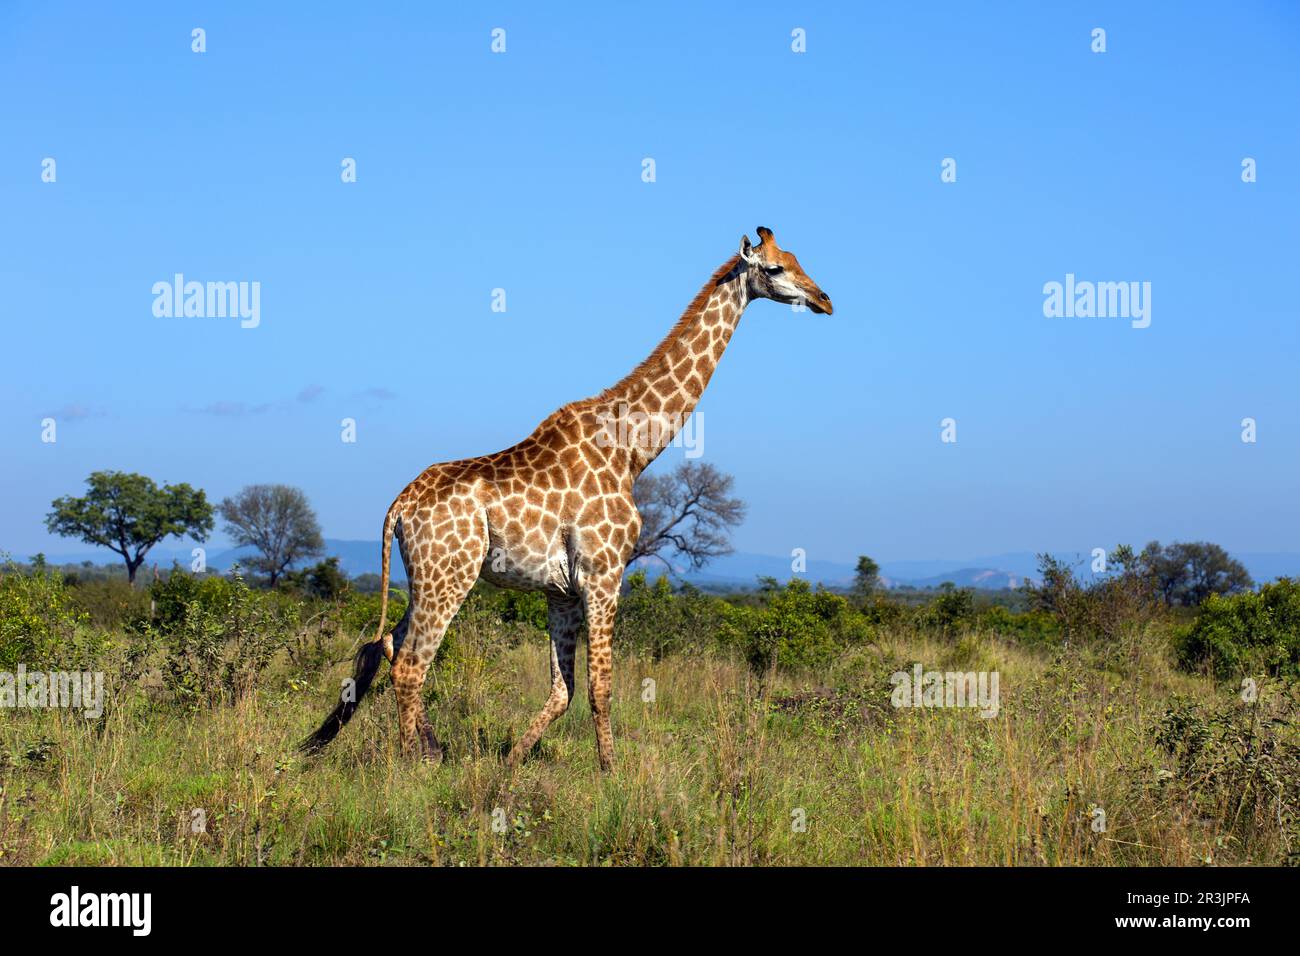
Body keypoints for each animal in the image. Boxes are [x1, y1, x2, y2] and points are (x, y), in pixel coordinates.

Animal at [303, 226, 832, 770]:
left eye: (798, 260)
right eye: (775, 268)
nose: (823, 299)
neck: (632, 448)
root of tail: (399, 507)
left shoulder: (560, 590)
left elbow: (564, 690)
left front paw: (512, 761)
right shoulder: (604, 574)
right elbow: (601, 687)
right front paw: (611, 772)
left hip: (423, 576)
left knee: (388, 646)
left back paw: (429, 749)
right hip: (449, 574)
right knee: (410, 663)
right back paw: (414, 762)